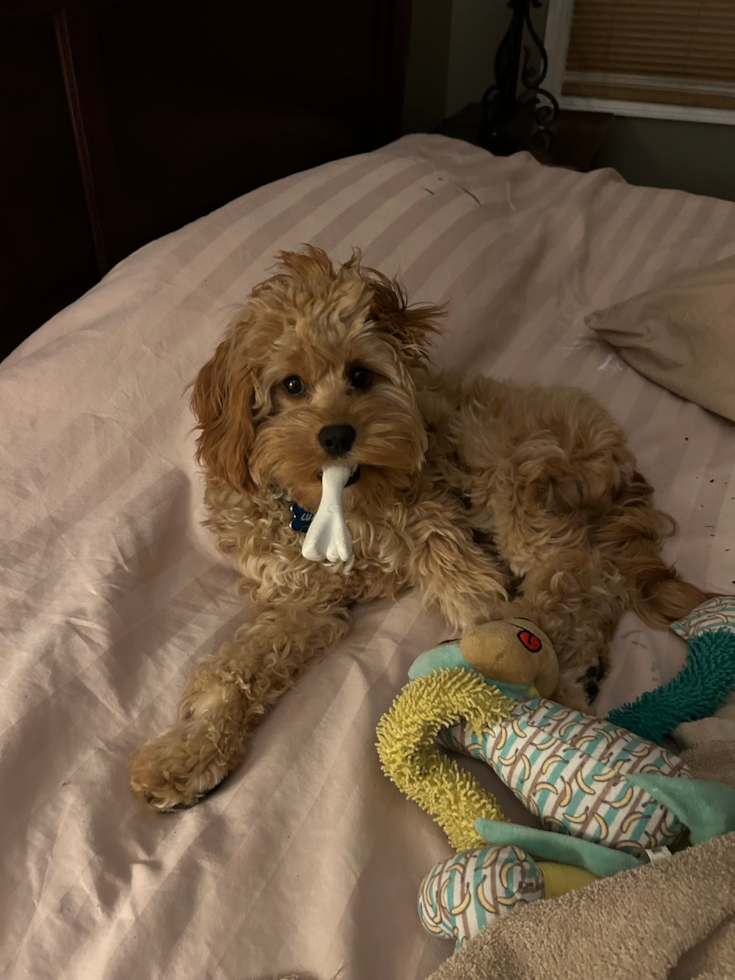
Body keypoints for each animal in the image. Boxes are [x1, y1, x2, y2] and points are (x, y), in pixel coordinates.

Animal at [129, 247, 712, 812]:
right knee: (596, 582)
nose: (337, 435)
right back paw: (583, 666)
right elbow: (237, 666)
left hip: (505, 465)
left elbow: (482, 609)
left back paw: (567, 674)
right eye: (290, 385)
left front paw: (528, 701)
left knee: (575, 571)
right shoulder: (300, 601)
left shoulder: (438, 531)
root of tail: (617, 452)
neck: (332, 507)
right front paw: (186, 753)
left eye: (360, 375)